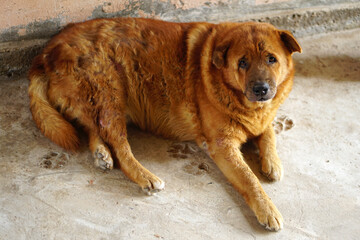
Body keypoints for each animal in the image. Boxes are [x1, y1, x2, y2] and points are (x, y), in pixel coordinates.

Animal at [28, 16, 300, 231]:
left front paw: (272, 162)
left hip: (97, 102)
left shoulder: (261, 121)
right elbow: (248, 178)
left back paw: (101, 154)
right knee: (120, 148)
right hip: (111, 92)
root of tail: (46, 52)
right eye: (242, 62)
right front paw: (267, 209)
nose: (261, 89)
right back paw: (144, 176)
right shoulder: (222, 145)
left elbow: (268, 134)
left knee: (94, 128)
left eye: (271, 59)